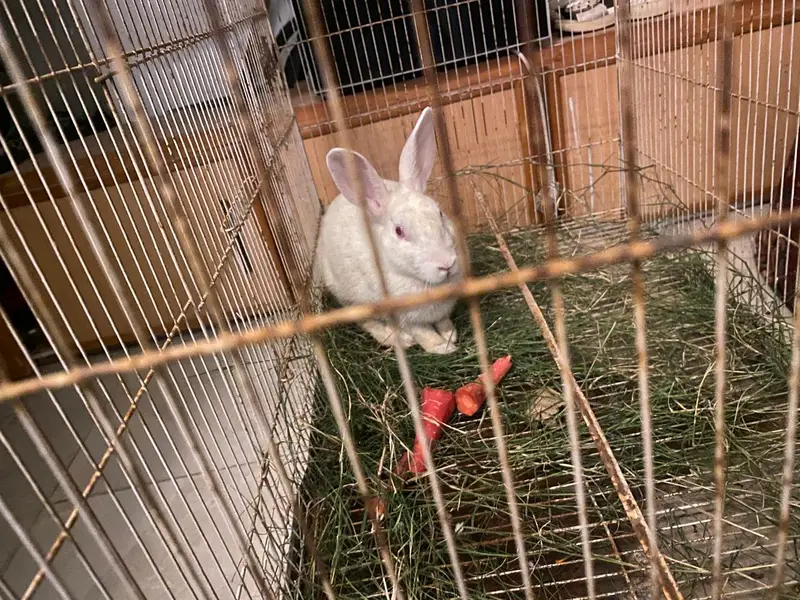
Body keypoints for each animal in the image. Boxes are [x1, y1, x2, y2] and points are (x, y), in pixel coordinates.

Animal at [314, 107, 462, 354]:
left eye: (440, 213)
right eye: (399, 231)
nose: (447, 263)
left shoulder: (442, 311)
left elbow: (443, 322)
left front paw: (450, 335)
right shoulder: (408, 319)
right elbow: (423, 334)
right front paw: (442, 347)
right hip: (354, 300)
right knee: (368, 323)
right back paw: (397, 339)